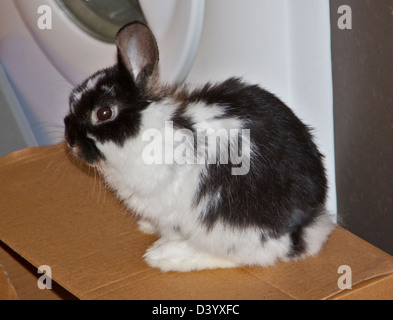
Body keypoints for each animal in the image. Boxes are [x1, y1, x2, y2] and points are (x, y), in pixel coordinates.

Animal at [64, 21, 334, 272]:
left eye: (104, 113)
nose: (70, 141)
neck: (149, 128)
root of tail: (302, 229)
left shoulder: (167, 207)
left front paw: (160, 243)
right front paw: (146, 225)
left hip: (227, 227)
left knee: (249, 256)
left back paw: (165, 256)